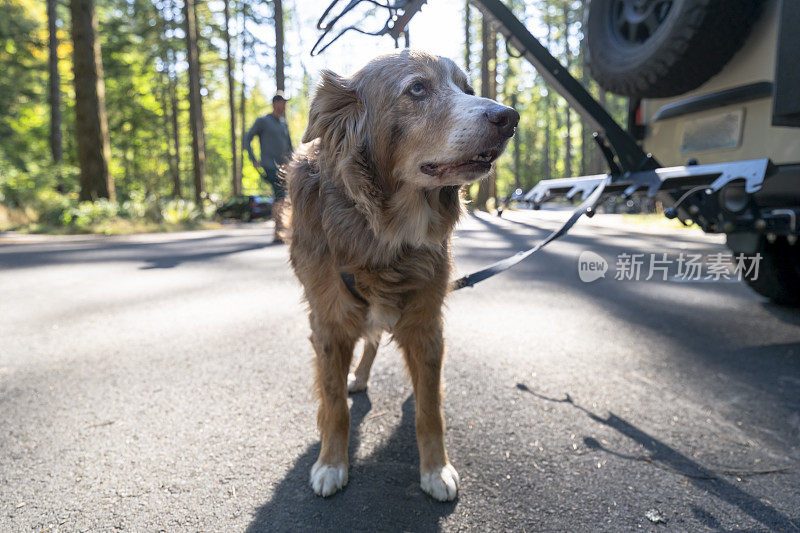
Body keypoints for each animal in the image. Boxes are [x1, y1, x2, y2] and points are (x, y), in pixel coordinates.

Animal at [288, 50, 520, 498]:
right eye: (417, 88)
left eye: (467, 88)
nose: (510, 117)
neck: (383, 231)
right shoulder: (328, 321)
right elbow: (334, 404)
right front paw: (331, 463)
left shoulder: (425, 322)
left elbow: (430, 410)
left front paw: (435, 469)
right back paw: (357, 379)